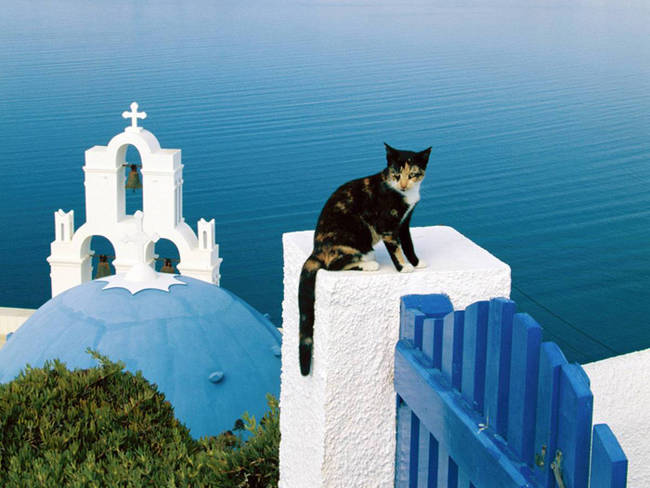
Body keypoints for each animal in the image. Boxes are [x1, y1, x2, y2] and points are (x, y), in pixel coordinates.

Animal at [298, 143, 430, 376]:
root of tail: (316, 250)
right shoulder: (387, 225)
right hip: (355, 243)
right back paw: (369, 264)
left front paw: (415, 262)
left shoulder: (404, 222)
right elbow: (396, 248)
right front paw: (403, 268)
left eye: (413, 174)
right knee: (333, 265)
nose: (404, 185)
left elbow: (408, 243)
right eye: (396, 174)